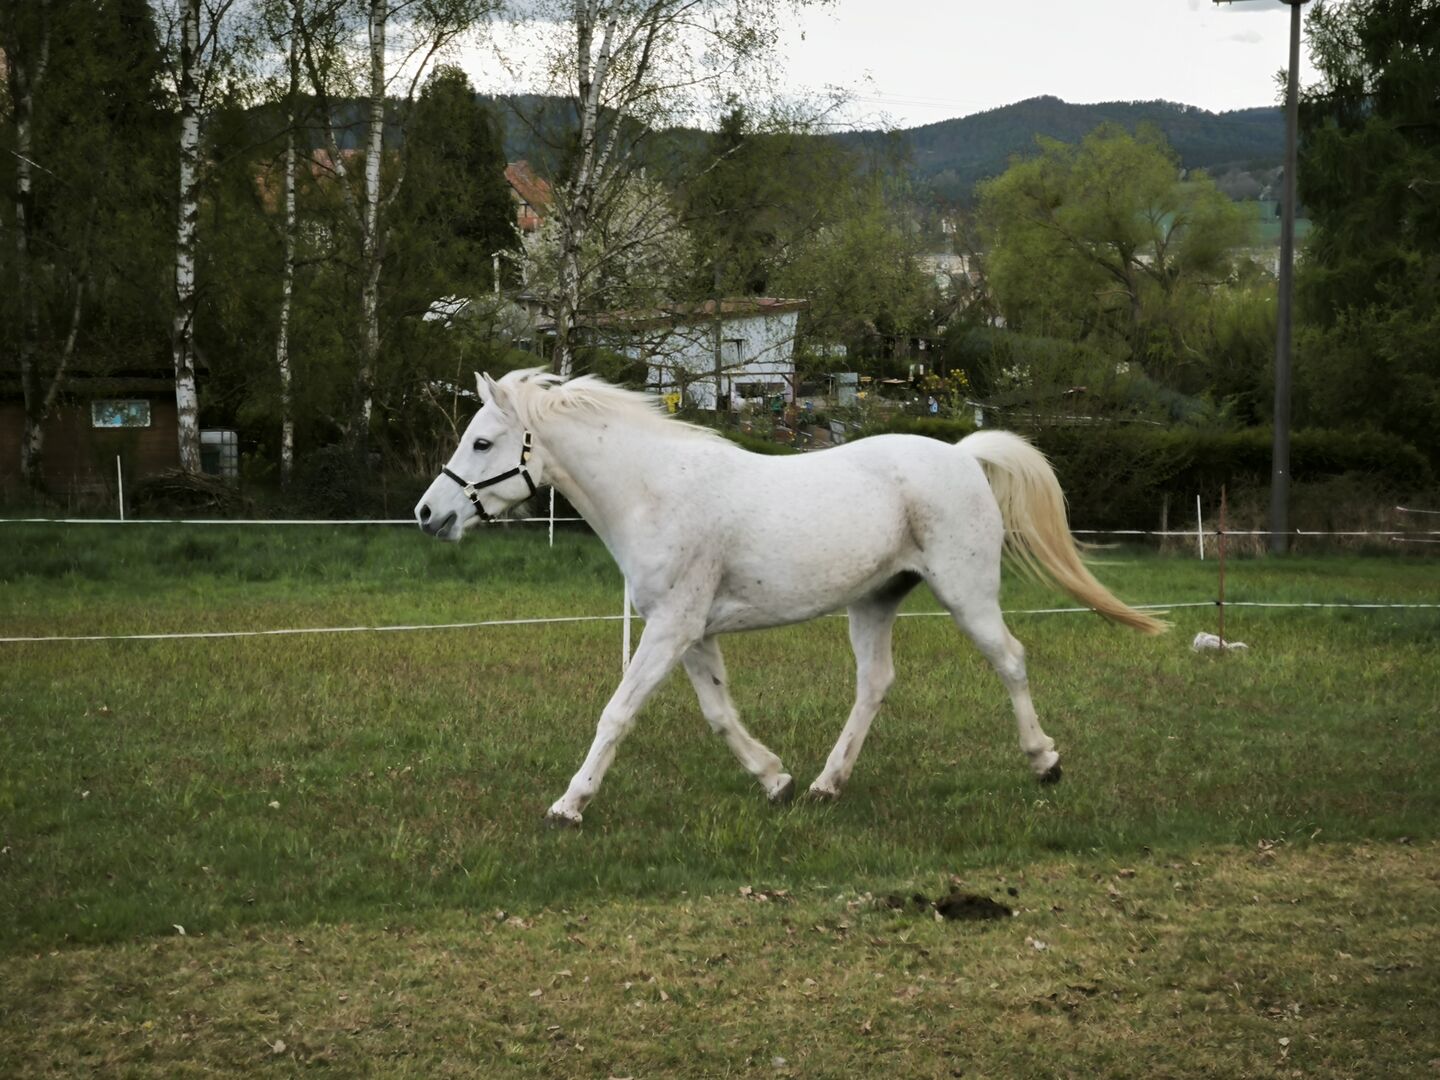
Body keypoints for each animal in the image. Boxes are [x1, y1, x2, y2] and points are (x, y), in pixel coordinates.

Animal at [415, 369, 1165, 827]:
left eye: (482, 441)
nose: (428, 514)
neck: (655, 492)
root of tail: (961, 455)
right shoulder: (691, 631)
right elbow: (719, 714)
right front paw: (774, 779)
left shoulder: (671, 628)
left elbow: (617, 713)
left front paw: (569, 805)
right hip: (873, 602)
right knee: (874, 683)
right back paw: (826, 785)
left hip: (968, 595)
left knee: (1010, 660)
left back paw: (1045, 763)